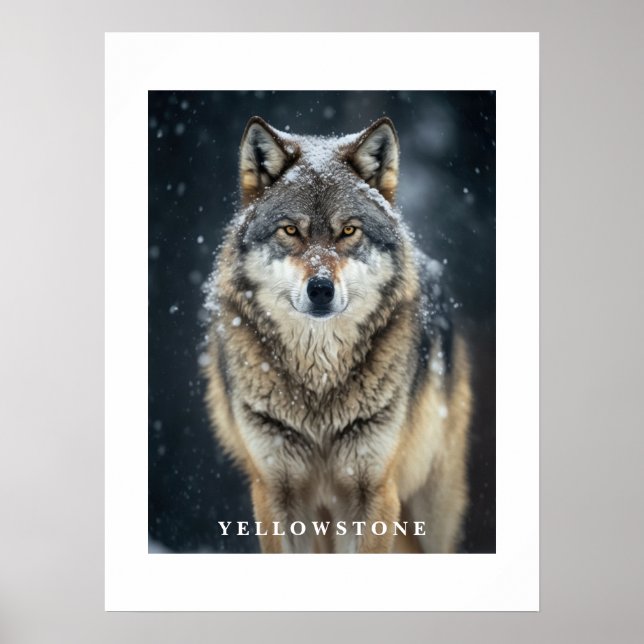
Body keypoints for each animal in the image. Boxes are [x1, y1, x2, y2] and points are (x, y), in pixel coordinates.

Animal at [204, 116, 472, 553]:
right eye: (290, 230)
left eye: (348, 231)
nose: (321, 289)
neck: (319, 385)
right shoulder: (274, 490)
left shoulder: (374, 490)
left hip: (430, 510)